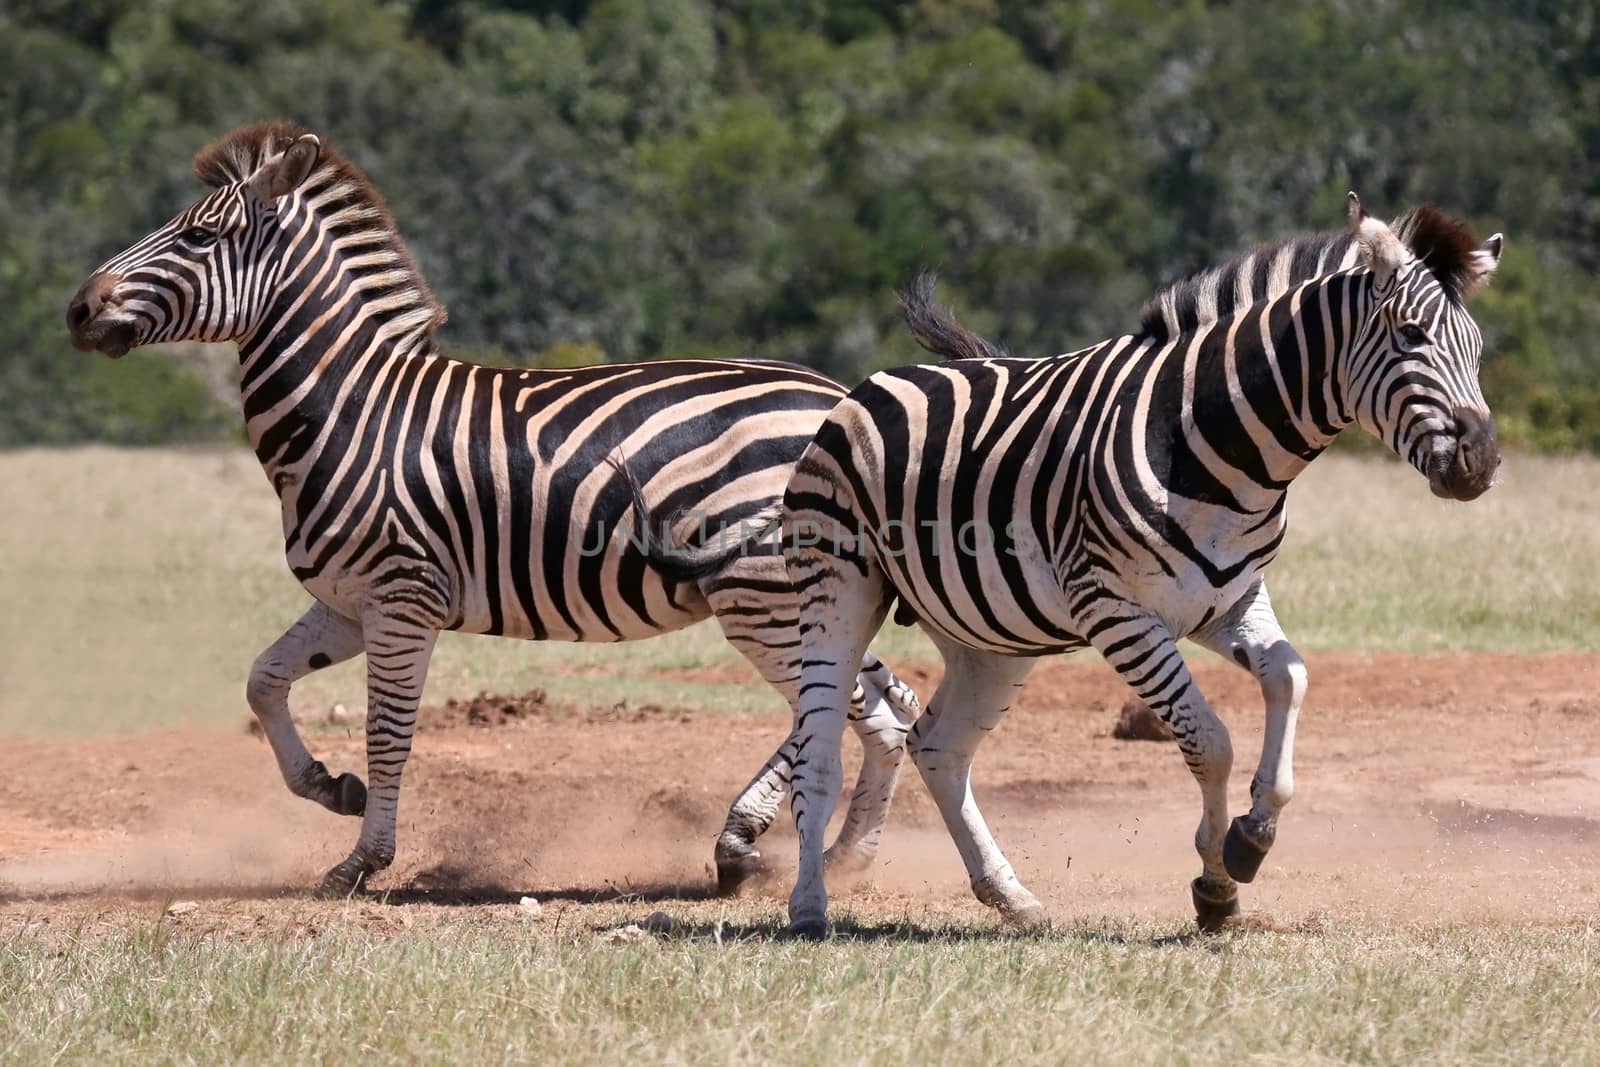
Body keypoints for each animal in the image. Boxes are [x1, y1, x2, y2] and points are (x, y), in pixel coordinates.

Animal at [65, 120, 928, 895]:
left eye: (199, 236)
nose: (76, 308)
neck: (352, 408)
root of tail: (843, 399)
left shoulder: (402, 595)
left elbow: (388, 734)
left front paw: (362, 862)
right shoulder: (348, 600)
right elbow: (263, 681)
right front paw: (328, 787)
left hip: (759, 592)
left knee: (849, 709)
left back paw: (770, 843)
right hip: (807, 593)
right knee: (884, 708)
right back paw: (835, 853)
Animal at [774, 195, 1497, 940]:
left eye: (1478, 347)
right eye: (1410, 334)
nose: (1482, 462)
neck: (1219, 449)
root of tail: (873, 383)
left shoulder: (1230, 599)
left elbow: (1290, 678)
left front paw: (1253, 833)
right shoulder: (1117, 611)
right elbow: (1209, 741)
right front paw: (1220, 878)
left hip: (990, 635)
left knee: (939, 748)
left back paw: (1009, 894)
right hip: (839, 586)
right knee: (819, 755)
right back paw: (809, 906)